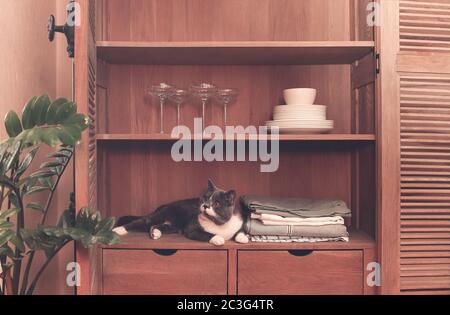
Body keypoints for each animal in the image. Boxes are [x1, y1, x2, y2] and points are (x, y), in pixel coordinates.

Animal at [110, 180, 248, 247]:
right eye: (204, 198)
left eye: (217, 203)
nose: (205, 205)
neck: (220, 225)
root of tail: (164, 205)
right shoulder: (191, 229)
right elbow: (207, 234)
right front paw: (218, 238)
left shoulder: (238, 223)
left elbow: (240, 231)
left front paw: (243, 238)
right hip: (159, 216)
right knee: (140, 222)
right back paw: (118, 230)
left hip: (174, 227)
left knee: (156, 226)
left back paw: (156, 232)